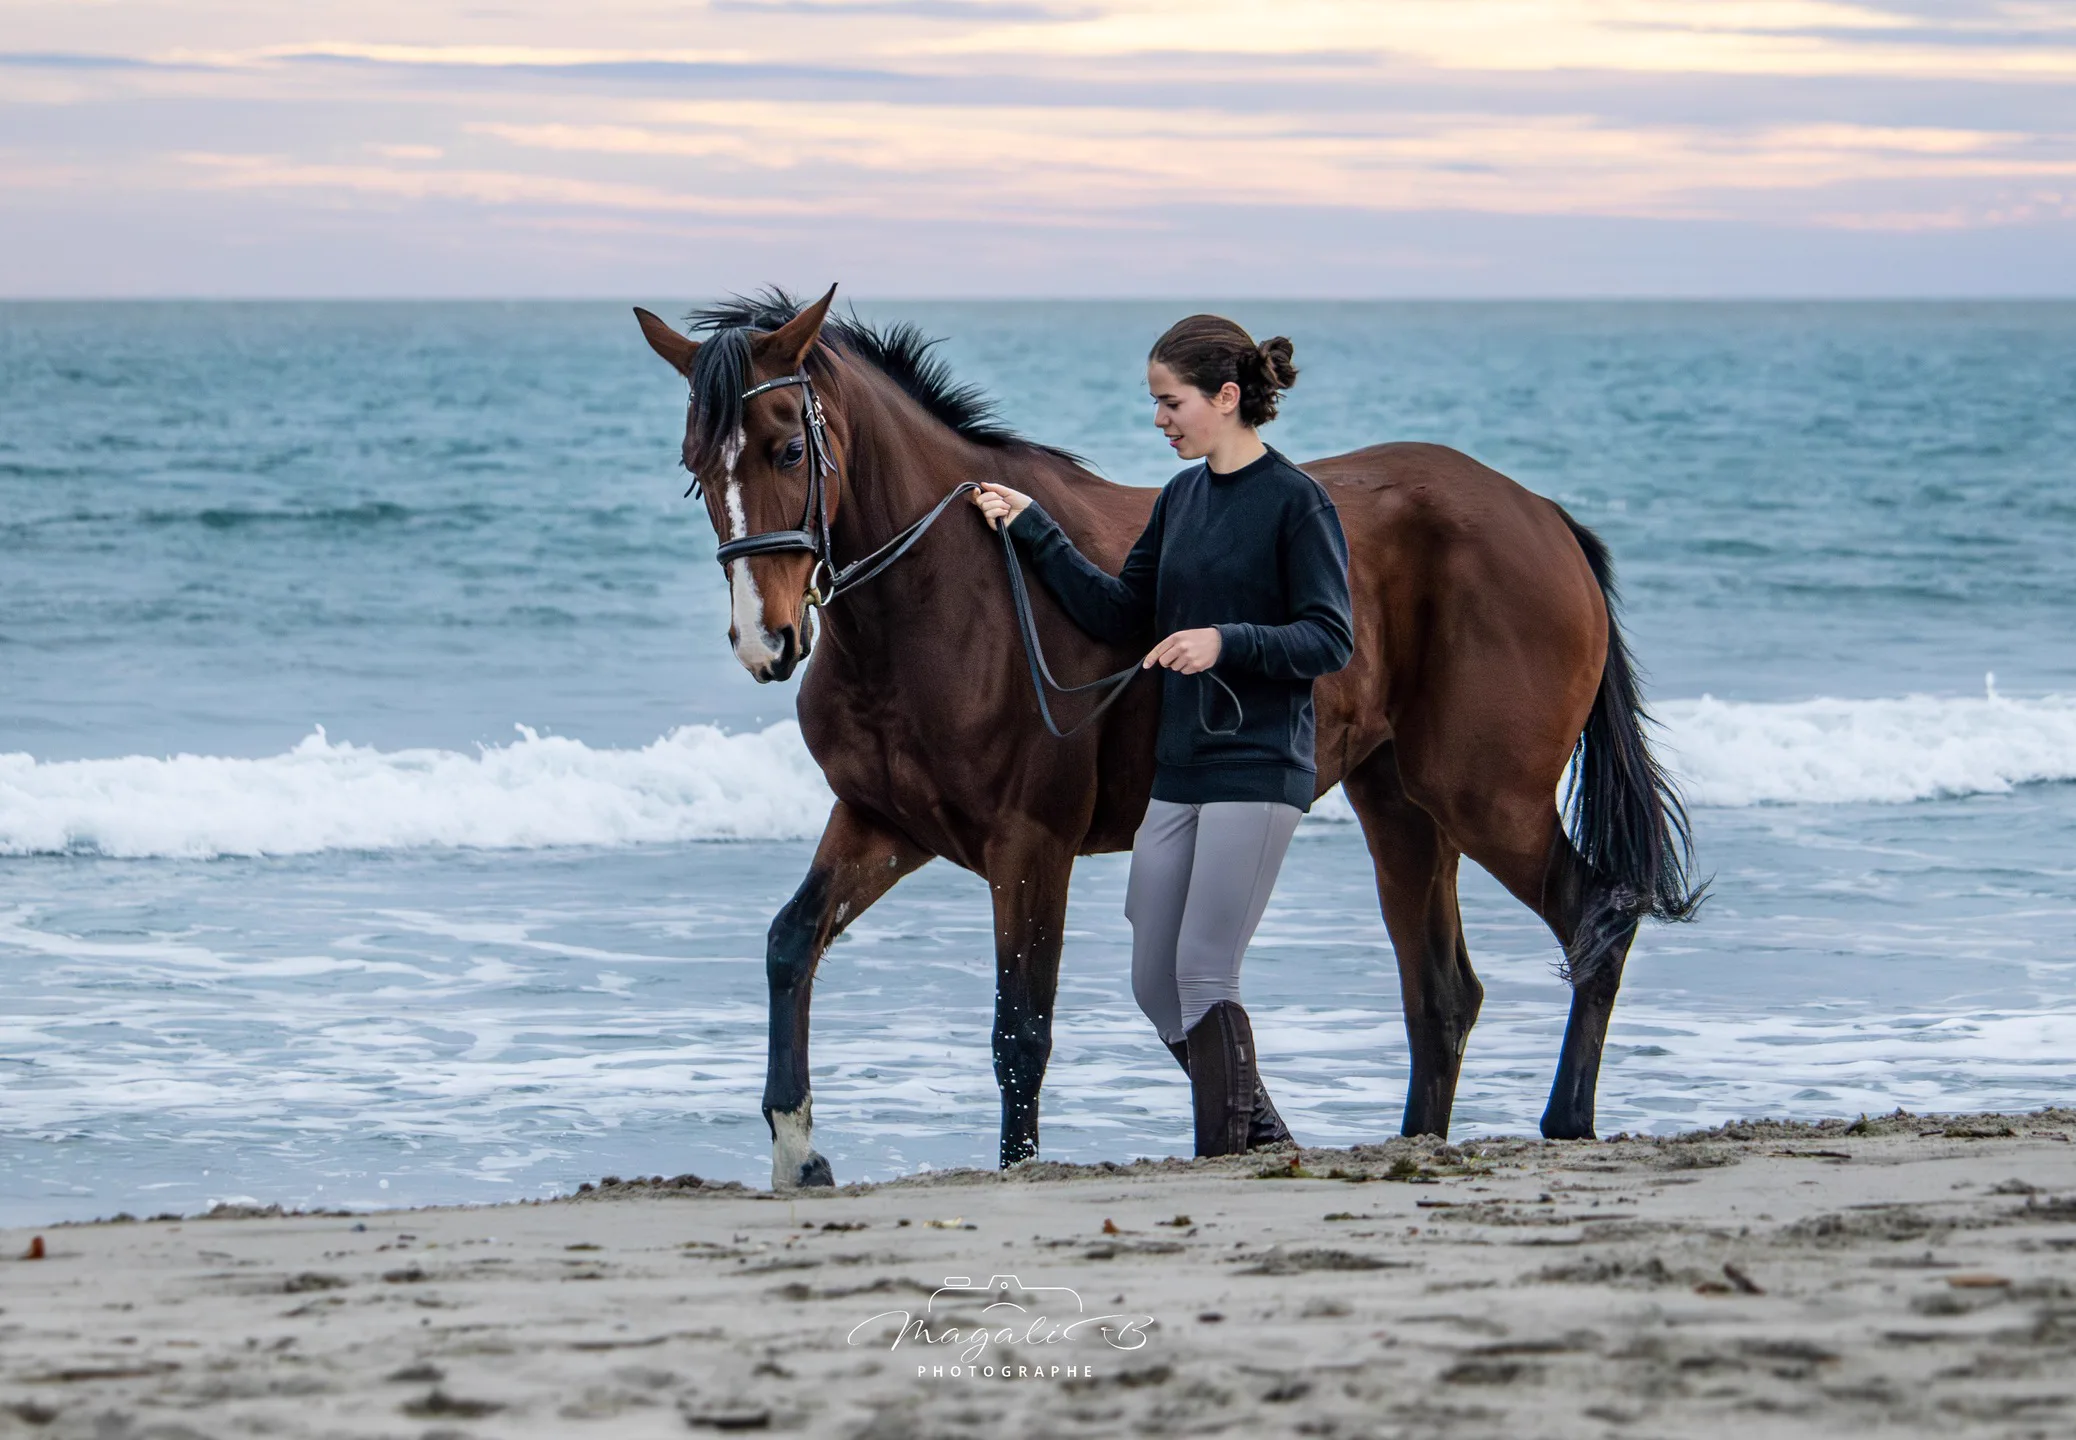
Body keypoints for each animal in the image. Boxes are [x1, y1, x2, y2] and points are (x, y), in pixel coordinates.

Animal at [633, 285, 1701, 1190]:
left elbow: (1021, 1030)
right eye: (696, 468)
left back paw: (1567, 1123)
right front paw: (797, 1152)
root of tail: (1542, 516)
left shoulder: (1031, 846)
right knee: (1443, 995)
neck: (958, 593)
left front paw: (1017, 1168)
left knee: (1596, 917)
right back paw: (1413, 1145)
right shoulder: (882, 823)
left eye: (787, 452)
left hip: (1486, 800)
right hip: (1401, 808)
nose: (766, 641)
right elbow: (790, 944)